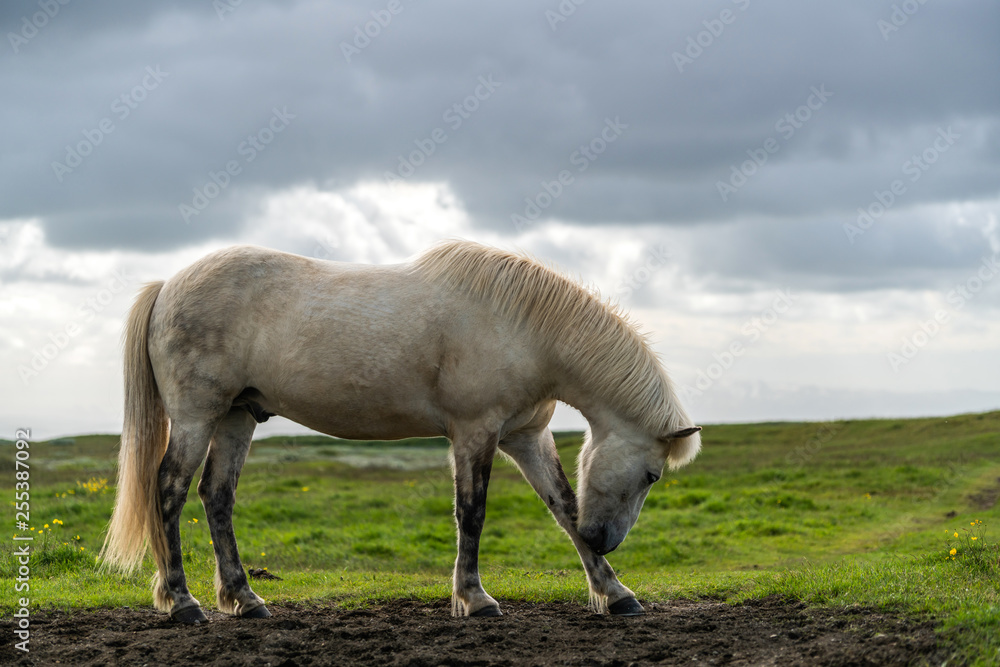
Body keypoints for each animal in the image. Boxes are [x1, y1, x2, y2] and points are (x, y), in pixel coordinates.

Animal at [99, 243, 696, 624]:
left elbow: (563, 507)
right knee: (170, 491)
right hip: (197, 416)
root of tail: (167, 286)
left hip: (236, 417)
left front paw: (614, 592)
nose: (606, 539)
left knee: (216, 497)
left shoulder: (525, 438)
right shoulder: (475, 433)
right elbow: (471, 514)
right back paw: (183, 603)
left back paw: (245, 600)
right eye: (651, 475)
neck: (523, 329)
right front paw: (475, 600)